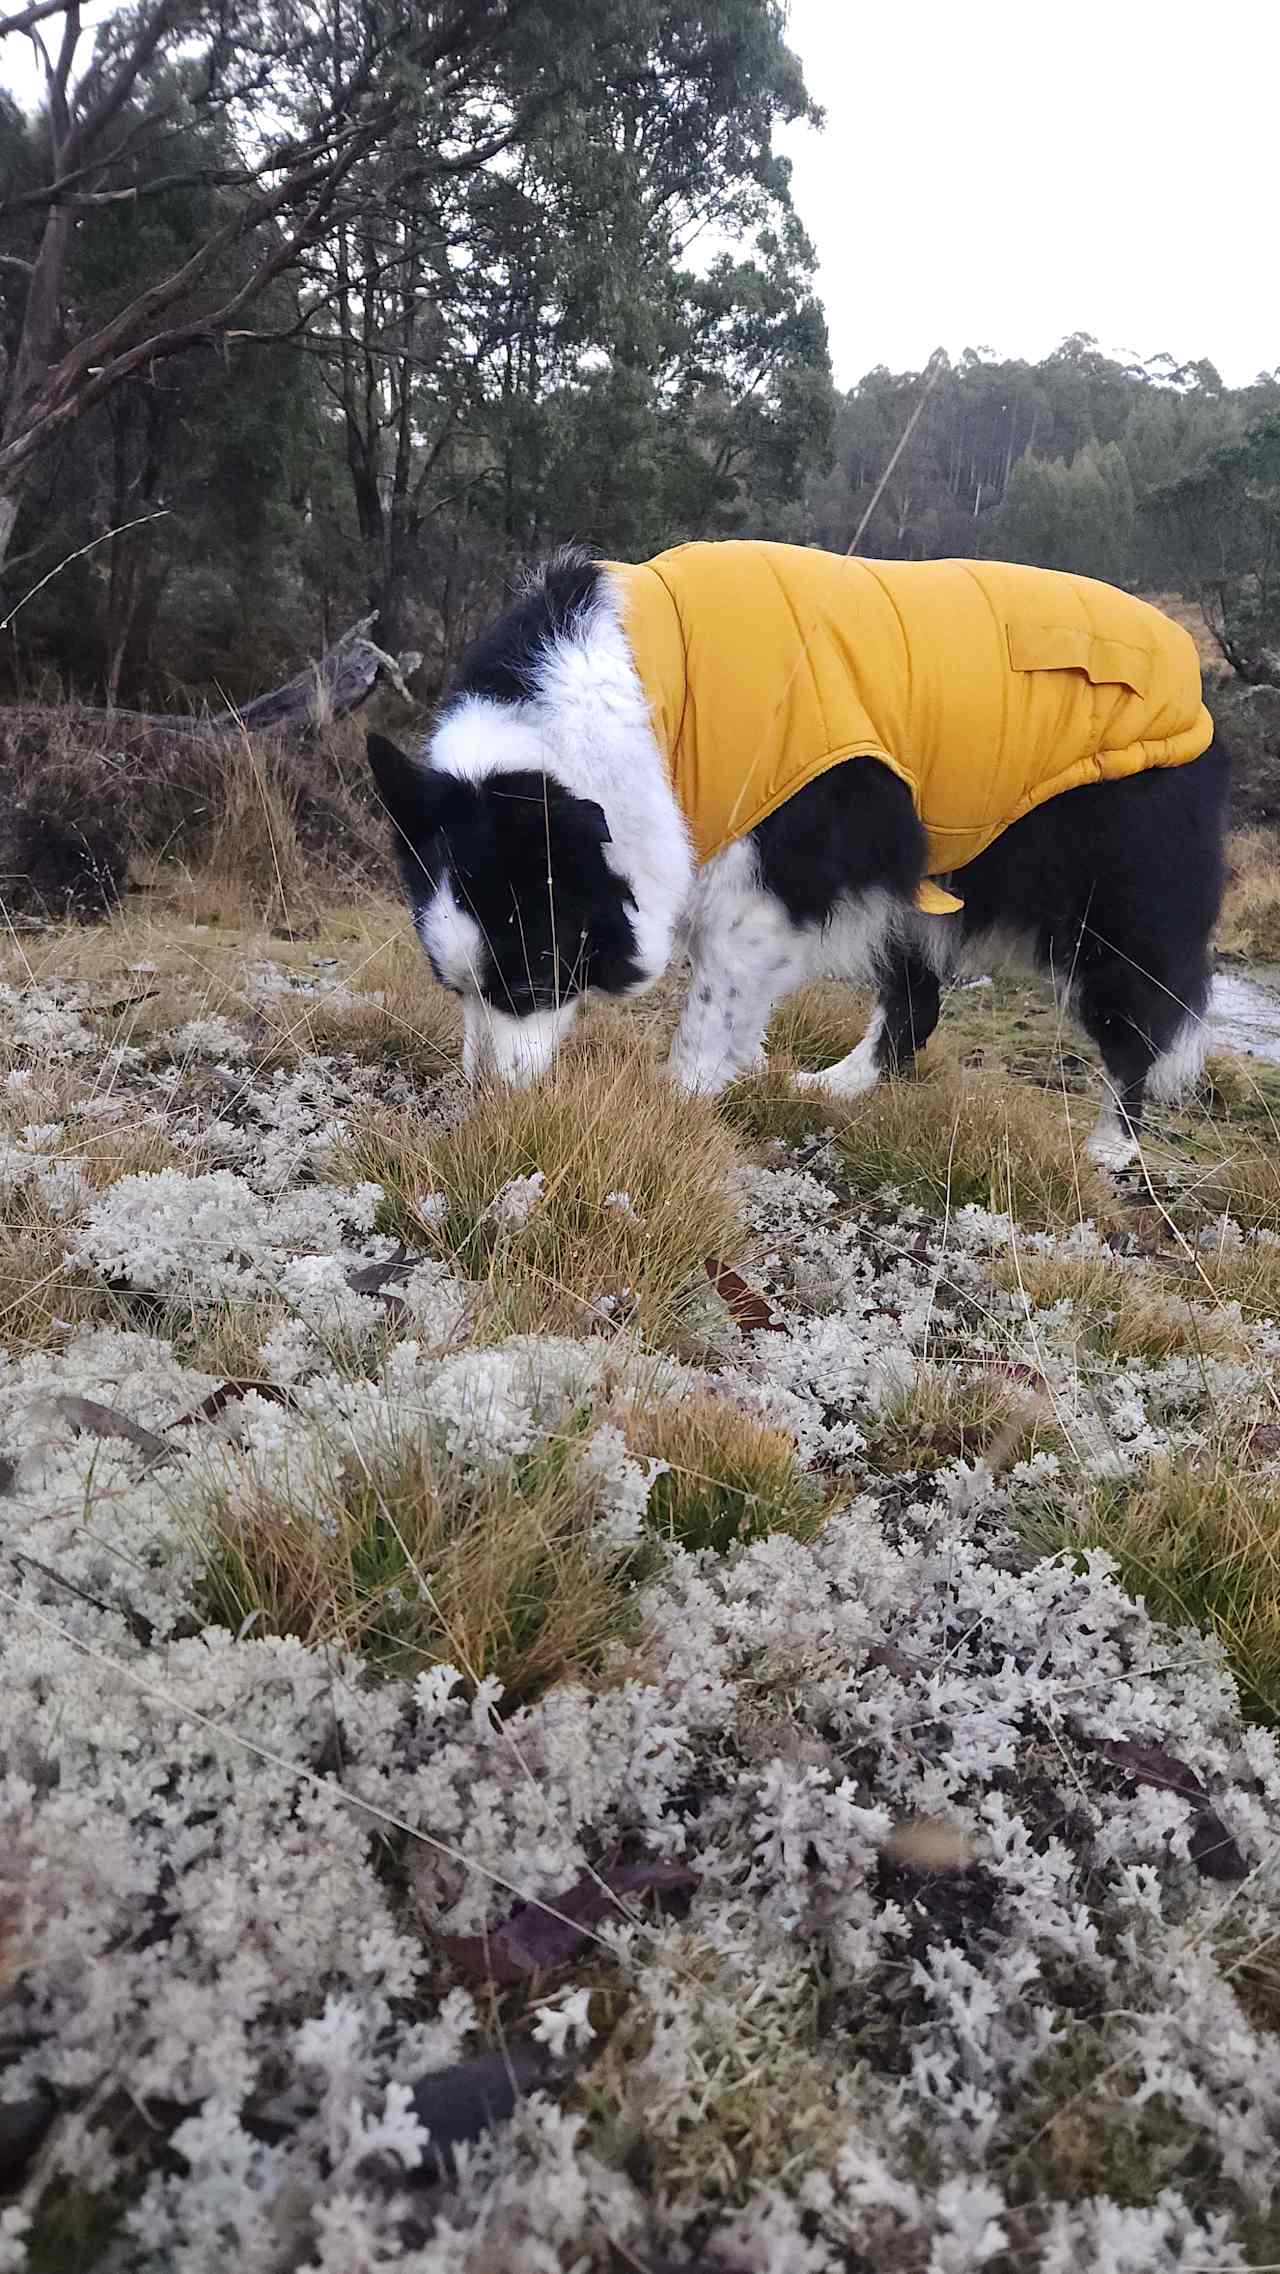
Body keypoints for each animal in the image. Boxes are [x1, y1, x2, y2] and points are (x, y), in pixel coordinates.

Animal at [368, 536, 1227, 1173]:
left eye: (535, 977)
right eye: (452, 987)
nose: (489, 1106)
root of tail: (1184, 664)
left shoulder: (771, 871)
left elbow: (715, 993)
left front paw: (679, 1102)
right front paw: (740, 1075)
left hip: (1116, 881)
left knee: (1138, 1004)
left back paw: (1113, 1143)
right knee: (914, 1000)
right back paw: (839, 1086)